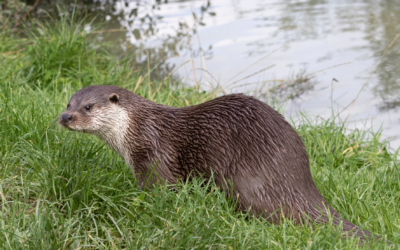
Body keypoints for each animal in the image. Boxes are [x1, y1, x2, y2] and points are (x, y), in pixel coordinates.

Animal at [58, 86, 372, 240]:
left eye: (88, 106)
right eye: (68, 103)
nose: (65, 117)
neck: (136, 129)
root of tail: (297, 179)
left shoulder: (154, 156)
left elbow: (159, 190)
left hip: (244, 181)